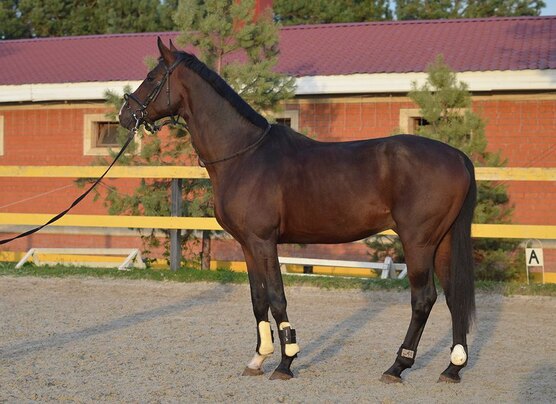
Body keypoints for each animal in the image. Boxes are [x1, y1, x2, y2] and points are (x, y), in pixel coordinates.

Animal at [119, 38, 476, 383]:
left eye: (152, 77)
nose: (125, 114)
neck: (244, 154)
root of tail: (457, 155)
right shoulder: (247, 245)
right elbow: (258, 299)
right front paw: (258, 358)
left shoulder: (264, 241)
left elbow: (277, 298)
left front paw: (285, 362)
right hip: (442, 241)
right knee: (453, 297)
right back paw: (452, 368)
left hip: (418, 241)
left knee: (423, 298)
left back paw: (397, 367)